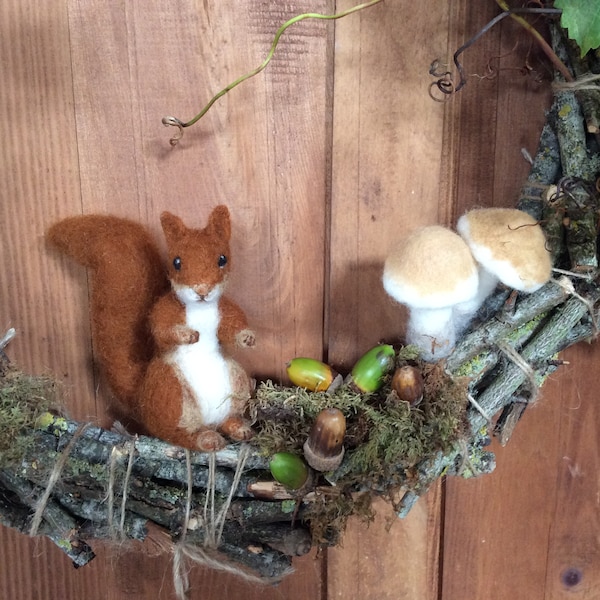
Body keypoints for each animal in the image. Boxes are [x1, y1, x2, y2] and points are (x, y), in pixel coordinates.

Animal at [48, 206, 255, 450]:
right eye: (176, 262)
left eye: (223, 259)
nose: (202, 290)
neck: (201, 308)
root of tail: (142, 401)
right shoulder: (164, 310)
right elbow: (161, 331)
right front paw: (185, 334)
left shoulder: (224, 310)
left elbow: (231, 329)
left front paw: (247, 338)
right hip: (170, 392)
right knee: (174, 434)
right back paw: (204, 439)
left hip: (237, 381)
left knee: (226, 419)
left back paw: (238, 428)